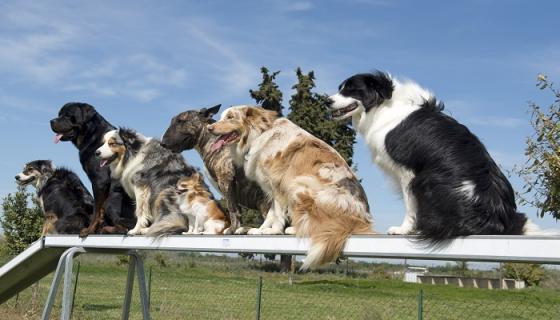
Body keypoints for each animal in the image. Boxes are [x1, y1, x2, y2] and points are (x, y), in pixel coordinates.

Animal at [50, 102, 136, 235]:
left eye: (68, 115)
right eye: (59, 114)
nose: (51, 121)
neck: (92, 136)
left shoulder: (100, 180)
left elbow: (96, 210)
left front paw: (89, 230)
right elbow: (99, 211)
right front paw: (96, 228)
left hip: (112, 199)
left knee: (123, 228)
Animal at [206, 106, 372, 268]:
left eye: (230, 117)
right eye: (221, 117)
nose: (209, 128)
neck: (260, 134)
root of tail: (358, 221)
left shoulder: (279, 184)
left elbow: (278, 213)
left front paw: (273, 231)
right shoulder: (271, 189)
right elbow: (271, 213)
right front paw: (260, 229)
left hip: (300, 185)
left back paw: (293, 229)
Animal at [326, 72, 540, 242]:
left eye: (351, 90)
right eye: (340, 89)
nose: (327, 101)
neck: (384, 106)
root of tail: (499, 218)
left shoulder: (408, 171)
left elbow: (410, 204)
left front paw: (403, 229)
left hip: (428, 178)